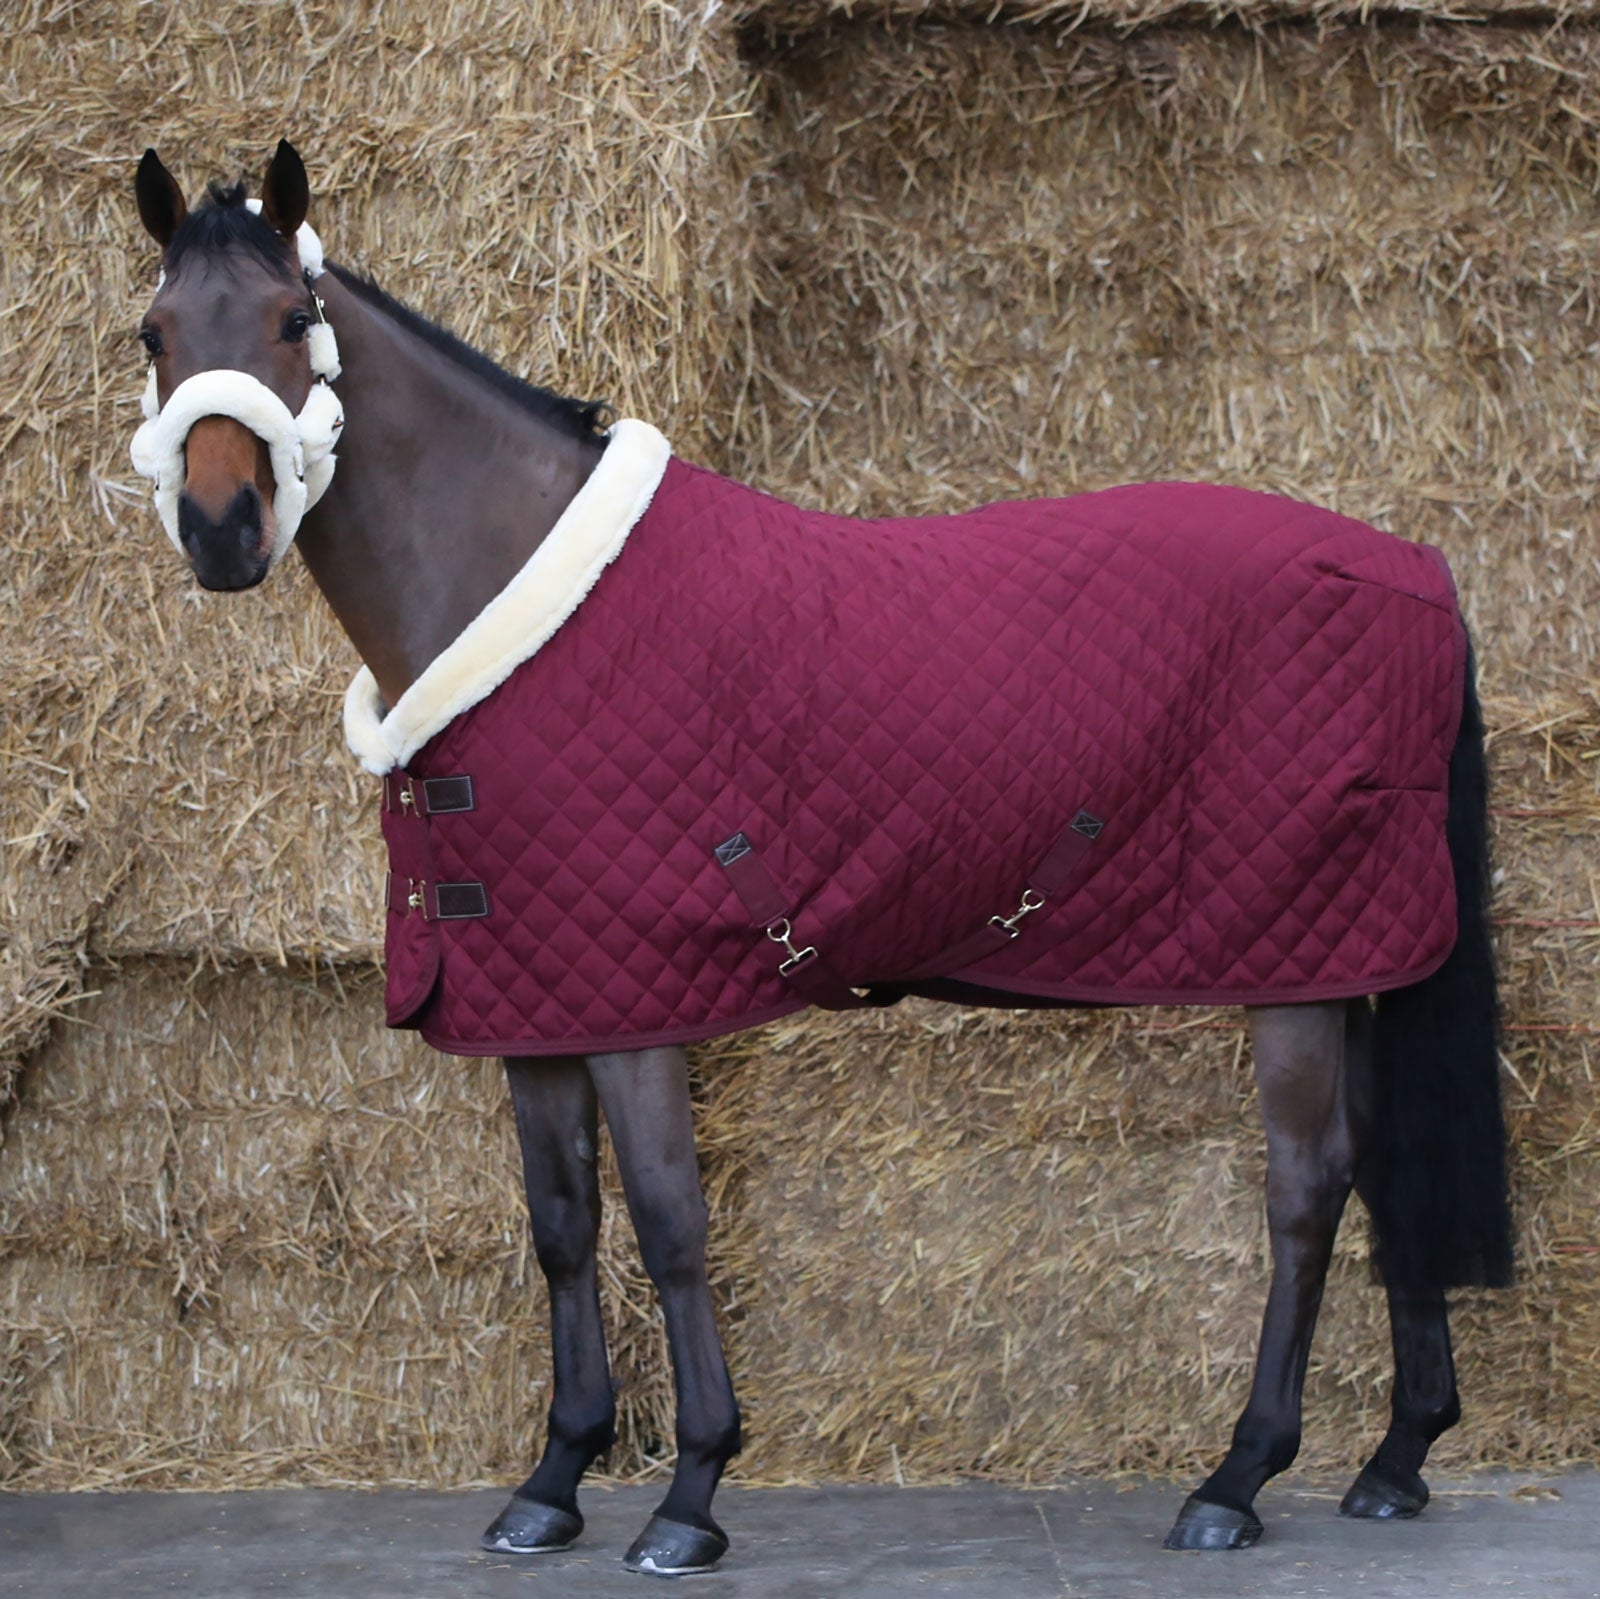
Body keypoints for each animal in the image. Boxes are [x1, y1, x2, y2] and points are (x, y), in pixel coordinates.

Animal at [128, 141, 1512, 1577]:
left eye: (293, 319)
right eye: (154, 334)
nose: (221, 527)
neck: (520, 593)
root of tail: (1412, 568)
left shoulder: (637, 1004)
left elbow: (671, 1225)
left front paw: (691, 1494)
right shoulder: (540, 1003)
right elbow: (564, 1227)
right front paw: (554, 1477)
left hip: (1291, 967)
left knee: (1308, 1190)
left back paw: (1237, 1477)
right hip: (1348, 956)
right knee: (1385, 1166)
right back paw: (1396, 1459)